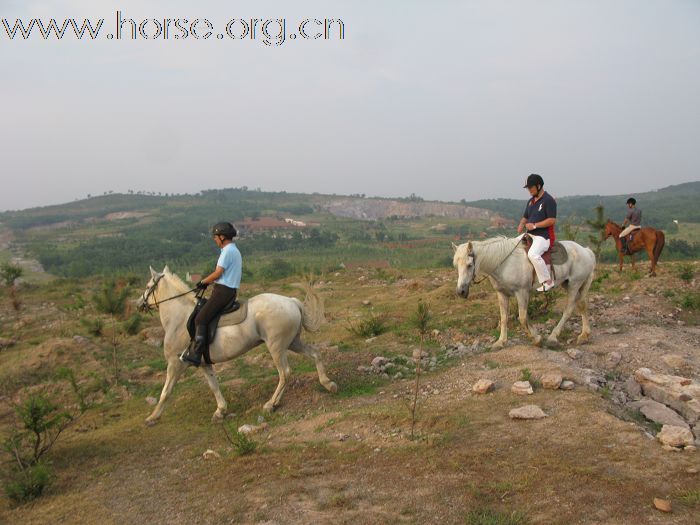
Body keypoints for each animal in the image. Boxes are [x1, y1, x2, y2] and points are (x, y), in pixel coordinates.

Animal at [135, 264, 338, 424]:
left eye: (148, 286)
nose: (139, 304)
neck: (178, 318)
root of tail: (292, 301)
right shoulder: (204, 363)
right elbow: (214, 386)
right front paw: (220, 411)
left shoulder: (175, 363)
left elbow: (166, 391)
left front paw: (152, 417)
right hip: (292, 342)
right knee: (315, 353)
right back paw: (328, 384)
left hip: (276, 347)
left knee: (285, 373)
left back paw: (270, 404)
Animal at [454, 235, 596, 346]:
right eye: (456, 266)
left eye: (469, 265)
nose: (461, 292)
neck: (504, 263)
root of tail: (586, 251)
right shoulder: (502, 294)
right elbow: (504, 318)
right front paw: (501, 341)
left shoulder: (521, 292)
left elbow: (522, 318)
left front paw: (536, 338)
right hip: (570, 284)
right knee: (582, 304)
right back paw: (584, 335)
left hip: (574, 285)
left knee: (569, 309)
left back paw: (553, 337)